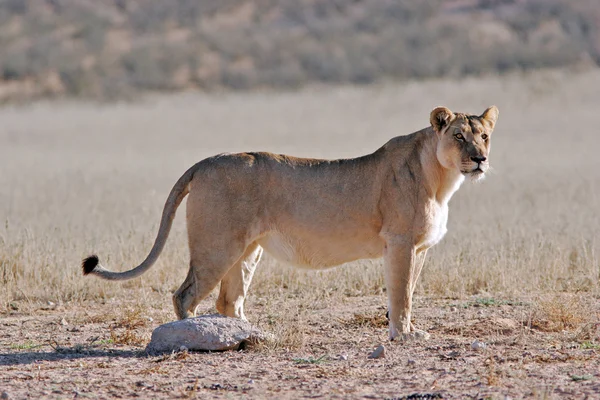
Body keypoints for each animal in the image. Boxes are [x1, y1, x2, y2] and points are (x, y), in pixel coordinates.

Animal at [83, 104, 496, 340]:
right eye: (458, 136)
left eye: (484, 136)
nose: (480, 159)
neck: (442, 181)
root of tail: (205, 161)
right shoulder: (400, 242)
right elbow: (401, 294)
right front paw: (403, 336)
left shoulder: (419, 248)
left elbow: (408, 291)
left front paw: (411, 332)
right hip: (217, 246)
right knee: (185, 294)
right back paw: (193, 336)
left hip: (247, 250)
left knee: (228, 299)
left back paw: (245, 334)